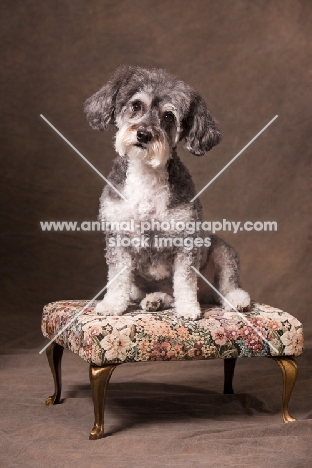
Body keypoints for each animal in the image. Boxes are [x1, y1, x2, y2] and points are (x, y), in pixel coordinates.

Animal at [84, 66, 250, 320]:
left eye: (169, 116)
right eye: (136, 105)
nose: (144, 134)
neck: (146, 174)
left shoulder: (186, 241)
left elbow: (184, 280)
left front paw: (189, 309)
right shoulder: (118, 237)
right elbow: (118, 278)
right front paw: (112, 304)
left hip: (221, 250)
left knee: (225, 286)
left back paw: (236, 300)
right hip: (141, 286)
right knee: (159, 293)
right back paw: (155, 300)